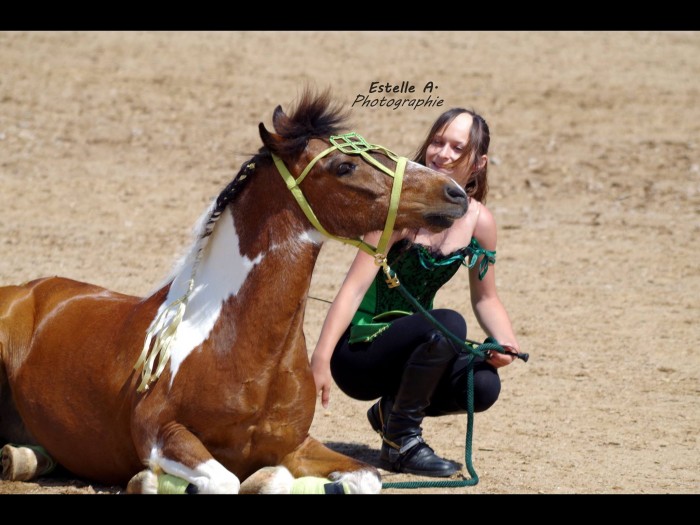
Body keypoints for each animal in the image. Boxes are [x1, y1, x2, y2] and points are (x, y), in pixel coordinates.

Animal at [1, 88, 470, 494]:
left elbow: (361, 476)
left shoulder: (296, 445)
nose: (455, 193)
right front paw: (149, 481)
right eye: (343, 166)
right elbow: (225, 480)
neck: (238, 343)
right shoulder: (158, 431)